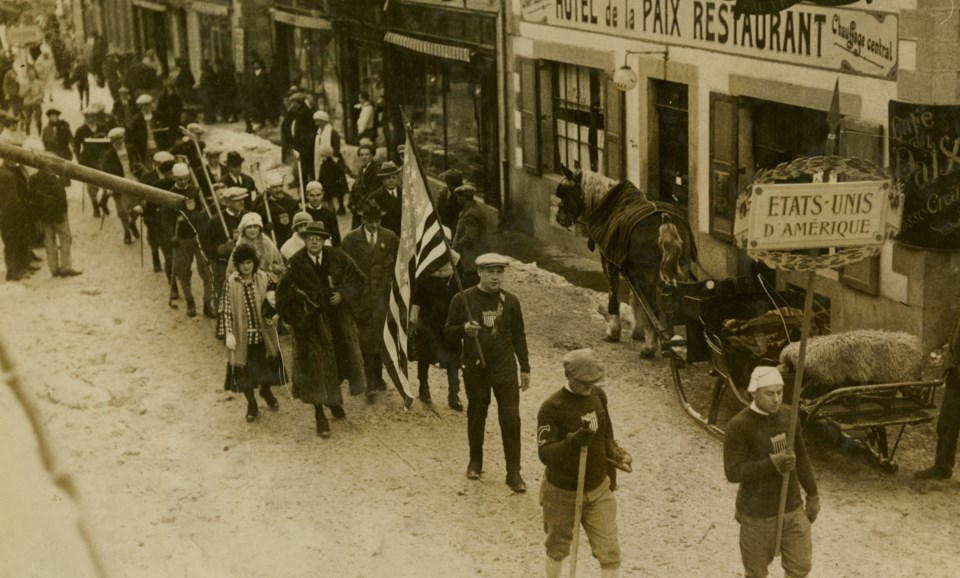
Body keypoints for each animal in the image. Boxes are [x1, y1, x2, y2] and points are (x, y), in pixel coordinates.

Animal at [552, 164, 700, 358]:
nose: (559, 217)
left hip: (649, 276)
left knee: (655, 309)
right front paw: (637, 331)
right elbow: (635, 299)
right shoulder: (632, 270)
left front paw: (614, 332)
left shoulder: (610, 262)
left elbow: (614, 298)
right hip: (679, 270)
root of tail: (665, 221)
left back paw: (651, 348)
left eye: (565, 194)